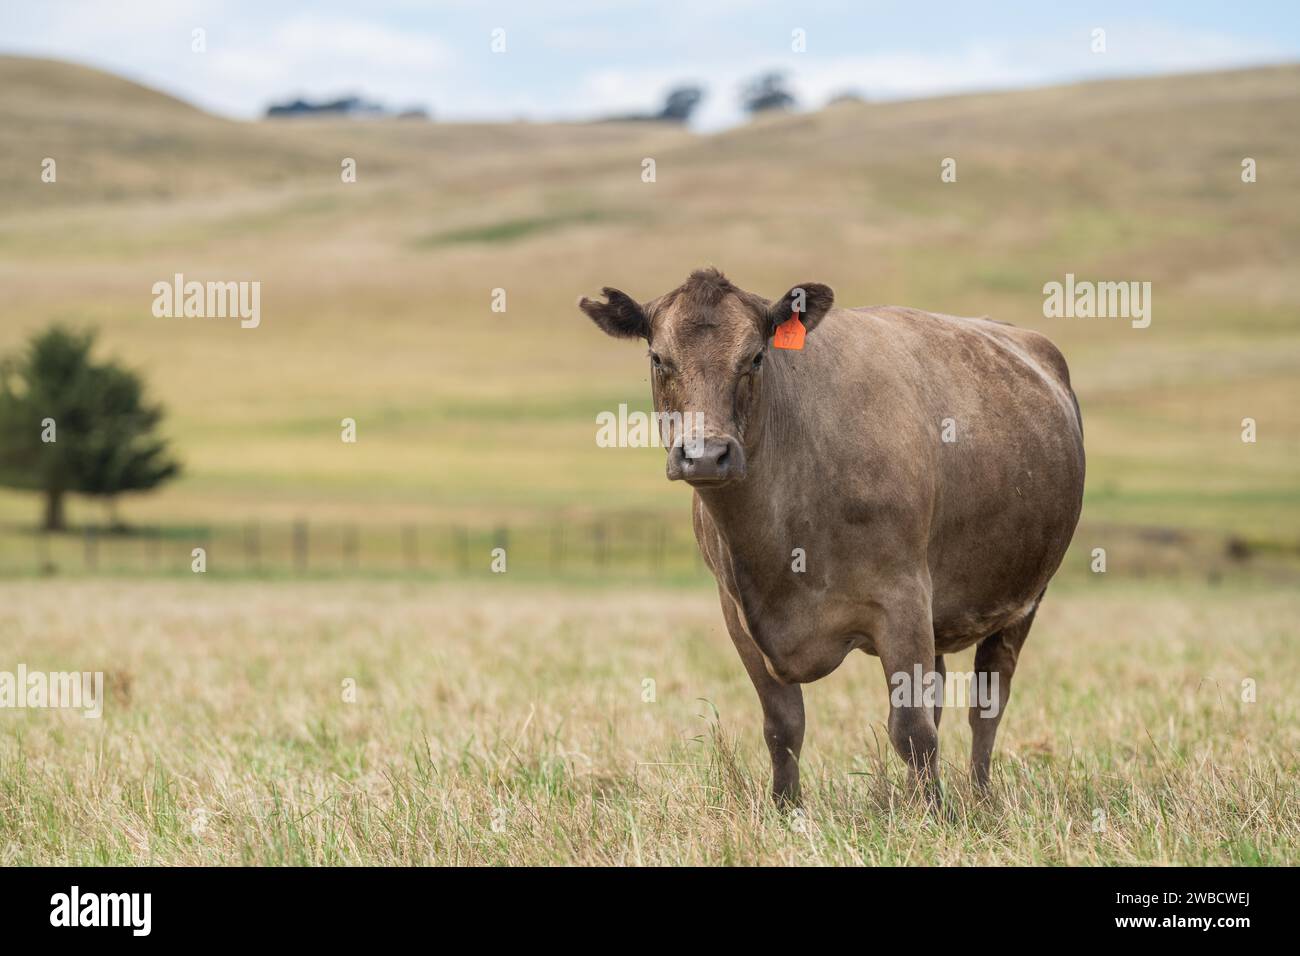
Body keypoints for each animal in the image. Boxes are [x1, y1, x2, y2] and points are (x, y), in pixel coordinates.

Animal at [579, 268, 1085, 808]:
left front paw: (936, 814)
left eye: (755, 357)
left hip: (1022, 599)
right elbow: (783, 726)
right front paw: (786, 808)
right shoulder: (737, 615)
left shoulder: (902, 598)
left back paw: (981, 795)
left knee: (987, 702)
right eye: (658, 358)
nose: (705, 454)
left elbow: (912, 729)